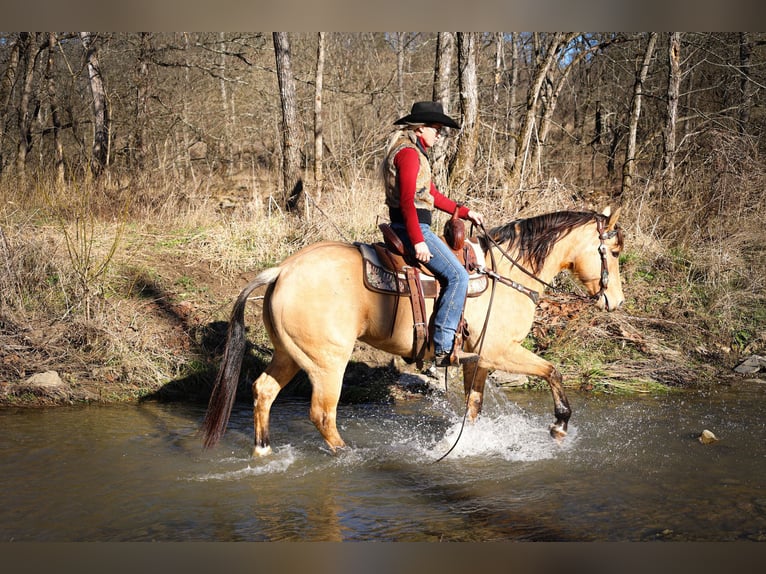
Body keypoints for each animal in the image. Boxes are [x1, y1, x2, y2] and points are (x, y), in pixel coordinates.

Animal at [201, 208, 628, 460]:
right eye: (614, 252)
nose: (617, 301)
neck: (506, 275)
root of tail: (283, 270)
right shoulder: (500, 351)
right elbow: (553, 371)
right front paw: (559, 424)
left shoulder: (478, 361)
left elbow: (473, 408)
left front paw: (465, 444)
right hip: (327, 362)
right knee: (322, 413)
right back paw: (348, 455)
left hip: (289, 354)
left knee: (263, 392)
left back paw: (264, 451)